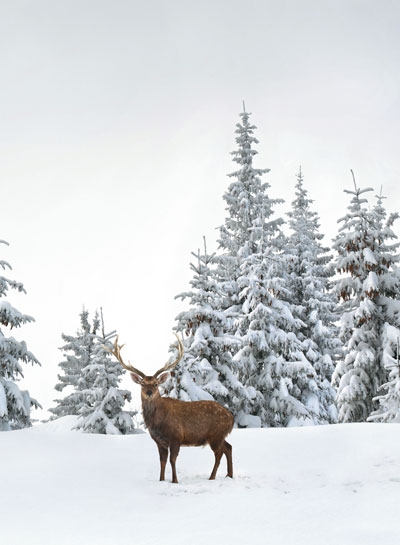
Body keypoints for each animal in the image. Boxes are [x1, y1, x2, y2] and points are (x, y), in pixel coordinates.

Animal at [107, 334, 234, 482]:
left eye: (155, 384)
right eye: (142, 384)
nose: (149, 392)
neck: (157, 423)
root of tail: (231, 417)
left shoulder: (176, 437)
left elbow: (172, 460)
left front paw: (175, 480)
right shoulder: (159, 441)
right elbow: (162, 461)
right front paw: (161, 479)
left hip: (216, 434)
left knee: (219, 454)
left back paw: (212, 477)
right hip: (220, 435)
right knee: (229, 447)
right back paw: (229, 475)